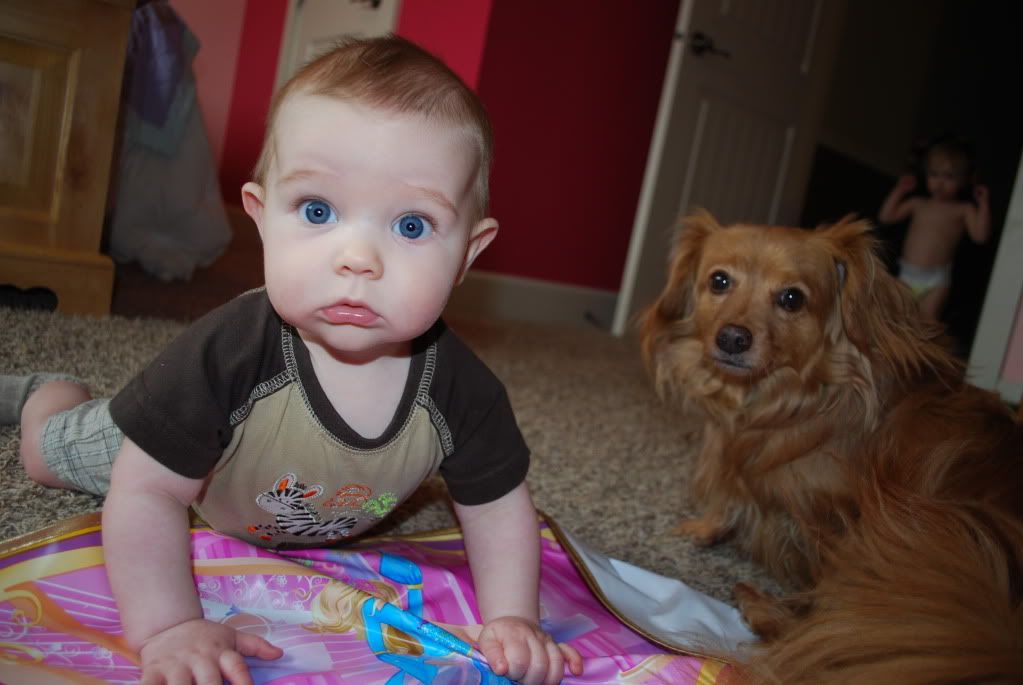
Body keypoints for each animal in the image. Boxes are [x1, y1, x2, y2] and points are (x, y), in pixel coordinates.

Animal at [640, 211, 1023, 683]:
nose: (732, 338)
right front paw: (708, 526)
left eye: (791, 298)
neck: (788, 405)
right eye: (719, 281)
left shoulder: (838, 522)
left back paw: (760, 606)